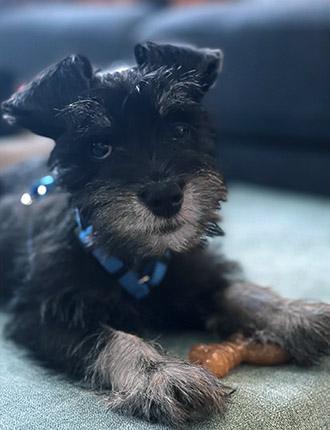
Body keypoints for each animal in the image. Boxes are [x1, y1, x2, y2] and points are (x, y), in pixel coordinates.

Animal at [0, 42, 330, 426]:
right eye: (99, 148)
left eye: (179, 130)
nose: (165, 197)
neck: (135, 255)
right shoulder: (44, 313)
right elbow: (108, 338)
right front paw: (161, 376)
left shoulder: (191, 275)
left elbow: (236, 291)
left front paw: (296, 314)